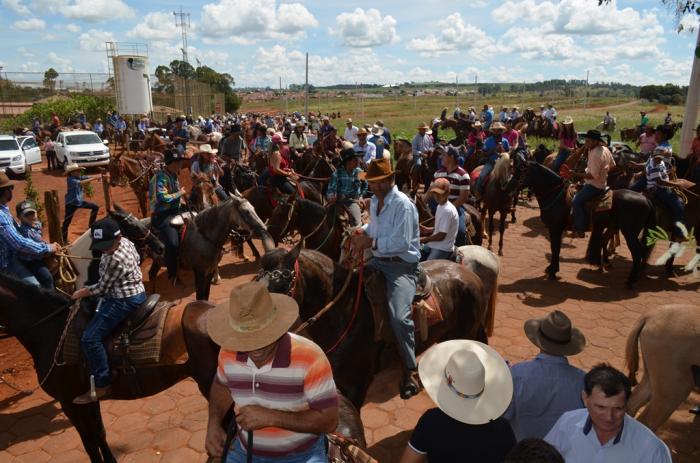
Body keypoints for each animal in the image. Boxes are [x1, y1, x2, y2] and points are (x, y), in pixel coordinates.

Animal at [524, 162, 656, 286]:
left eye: (521, 170)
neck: (556, 196)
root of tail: (647, 200)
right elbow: (556, 249)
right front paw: (552, 269)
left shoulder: (555, 228)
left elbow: (555, 249)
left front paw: (552, 272)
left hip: (630, 233)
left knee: (637, 253)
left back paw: (631, 280)